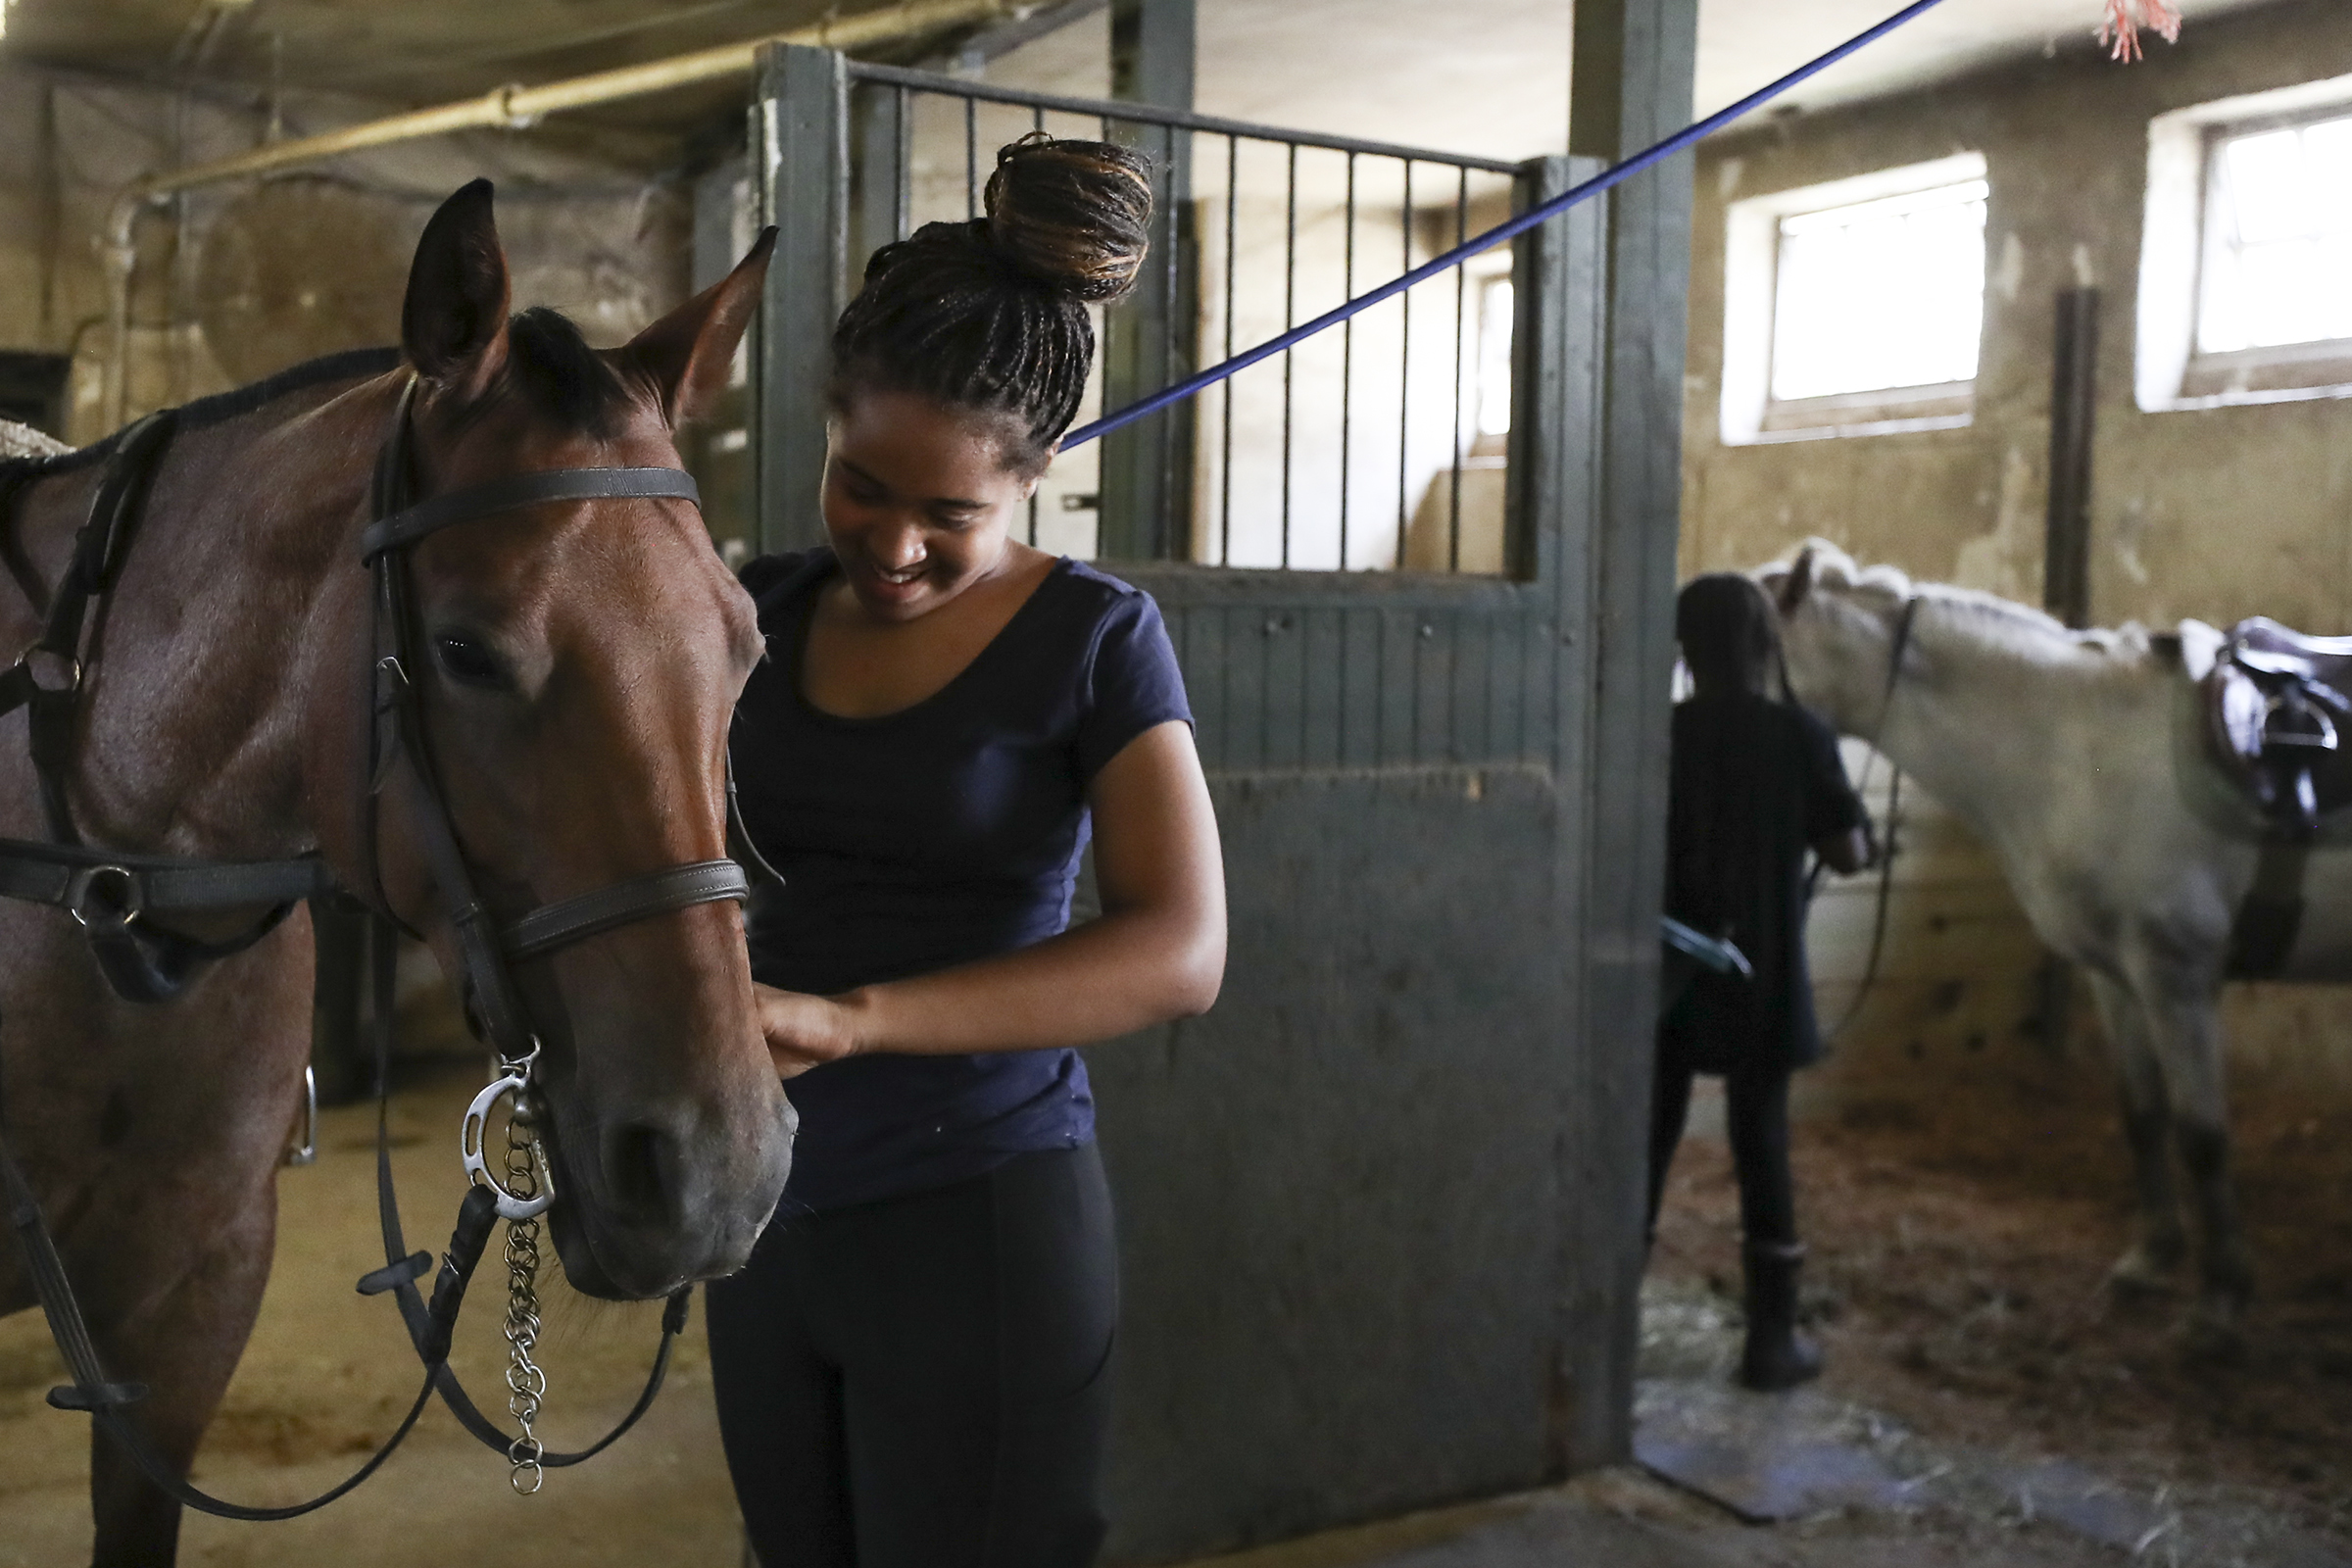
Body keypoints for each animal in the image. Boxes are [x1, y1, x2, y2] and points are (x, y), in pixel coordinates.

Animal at [1759, 543, 2352, 1353]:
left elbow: (2202, 1134)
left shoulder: (2178, 977)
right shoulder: (2119, 978)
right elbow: (2142, 1113)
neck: (2079, 746)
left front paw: (2220, 1300)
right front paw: (2150, 1259)